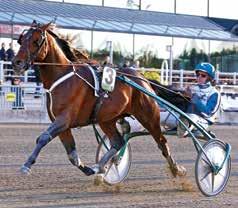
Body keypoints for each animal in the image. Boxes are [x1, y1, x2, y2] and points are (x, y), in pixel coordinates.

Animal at [11, 22, 186, 179]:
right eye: (21, 39)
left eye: (36, 40)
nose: (16, 62)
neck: (63, 77)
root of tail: (142, 79)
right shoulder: (62, 125)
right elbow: (72, 155)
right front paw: (89, 169)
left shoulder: (64, 119)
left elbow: (43, 137)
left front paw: (26, 165)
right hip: (107, 119)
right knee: (117, 142)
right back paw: (100, 166)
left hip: (148, 116)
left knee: (162, 142)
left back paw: (176, 169)